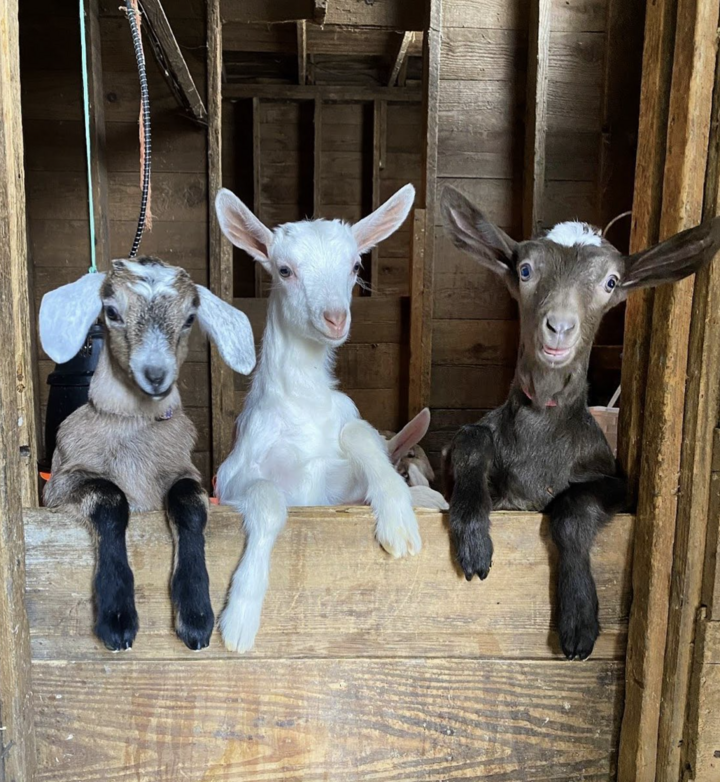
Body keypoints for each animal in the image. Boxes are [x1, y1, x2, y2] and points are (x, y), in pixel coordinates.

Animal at [39, 258, 255, 651]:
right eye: (111, 311)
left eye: (189, 317)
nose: (155, 375)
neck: (134, 426)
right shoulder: (59, 485)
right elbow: (110, 497)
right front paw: (118, 619)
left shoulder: (185, 472)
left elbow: (187, 502)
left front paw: (196, 616)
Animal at [214, 184, 427, 652]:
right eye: (284, 269)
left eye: (355, 265)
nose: (335, 318)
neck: (302, 406)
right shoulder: (233, 479)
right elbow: (269, 499)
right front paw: (240, 616)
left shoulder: (337, 490)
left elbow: (360, 434)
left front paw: (398, 518)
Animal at [440, 186, 720, 660]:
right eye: (525, 270)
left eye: (611, 283)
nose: (559, 327)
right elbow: (471, 440)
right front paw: (474, 536)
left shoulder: (619, 485)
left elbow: (573, 508)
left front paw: (579, 618)